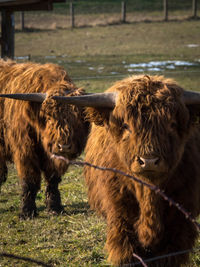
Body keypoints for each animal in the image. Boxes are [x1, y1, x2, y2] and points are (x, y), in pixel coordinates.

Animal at [0, 59, 88, 220]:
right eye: (49, 118)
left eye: (77, 119)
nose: (64, 147)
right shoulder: (25, 152)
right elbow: (29, 181)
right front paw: (27, 211)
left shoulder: (52, 158)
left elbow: (52, 180)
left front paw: (54, 207)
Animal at [83, 75, 200, 267]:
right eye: (126, 125)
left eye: (172, 124)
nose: (149, 161)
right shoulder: (119, 213)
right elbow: (126, 251)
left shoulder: (181, 217)